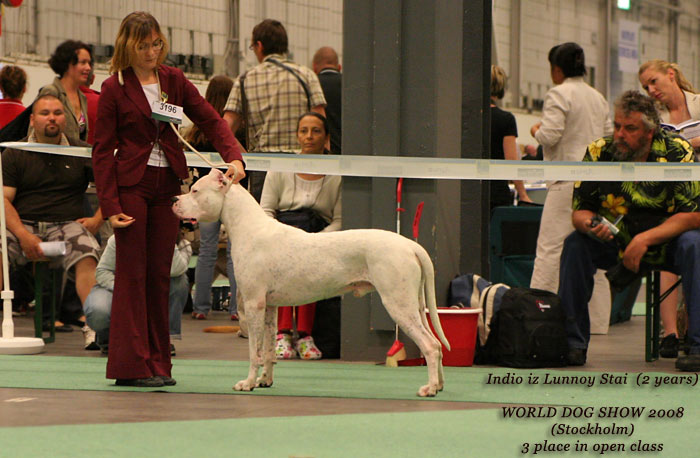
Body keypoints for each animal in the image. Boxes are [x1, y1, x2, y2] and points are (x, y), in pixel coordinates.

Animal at [172, 169, 452, 398]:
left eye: (195, 190)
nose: (175, 200)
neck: (249, 227)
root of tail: (410, 245)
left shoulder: (253, 305)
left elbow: (254, 351)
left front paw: (248, 383)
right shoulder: (269, 307)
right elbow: (269, 350)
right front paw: (265, 380)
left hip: (398, 303)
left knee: (429, 345)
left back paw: (428, 389)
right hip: (414, 305)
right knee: (436, 343)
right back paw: (439, 385)